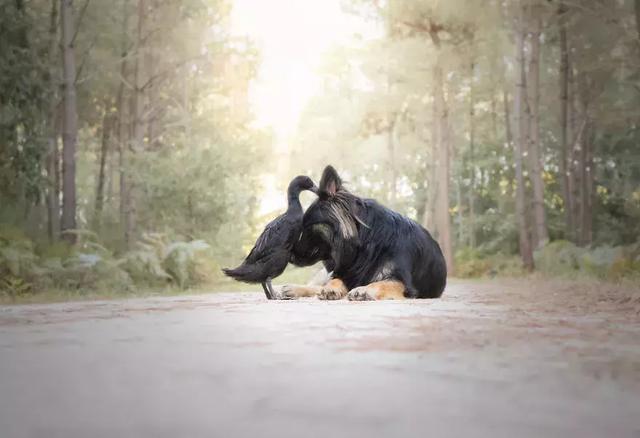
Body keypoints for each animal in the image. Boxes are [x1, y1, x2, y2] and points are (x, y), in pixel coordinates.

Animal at [278, 165, 448, 302]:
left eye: (307, 227)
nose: (290, 257)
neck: (367, 246)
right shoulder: (344, 271)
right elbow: (335, 280)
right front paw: (332, 288)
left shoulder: (402, 282)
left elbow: (382, 283)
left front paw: (363, 290)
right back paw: (294, 289)